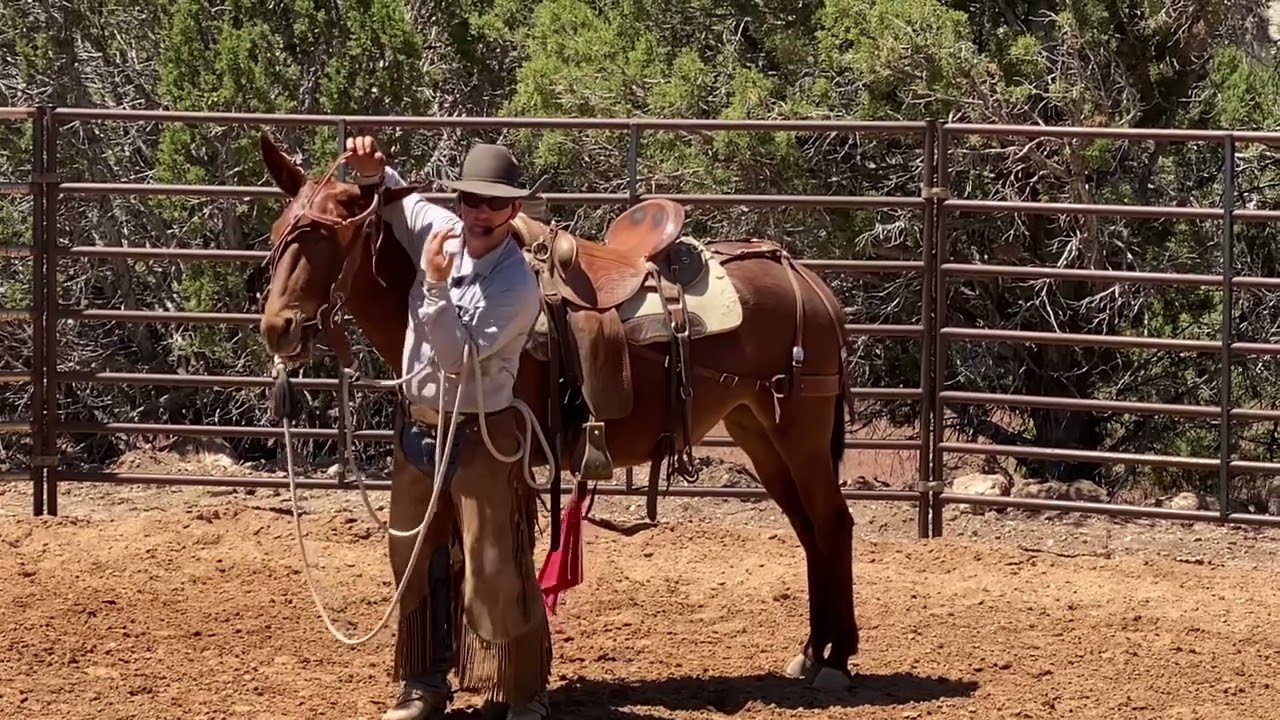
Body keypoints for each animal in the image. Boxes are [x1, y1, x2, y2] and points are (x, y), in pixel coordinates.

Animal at [254, 130, 860, 692]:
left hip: (800, 434)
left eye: (331, 236)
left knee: (832, 523)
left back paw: (834, 659)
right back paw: (811, 651)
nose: (279, 327)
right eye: (278, 232)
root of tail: (810, 283)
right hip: (757, 430)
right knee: (807, 527)